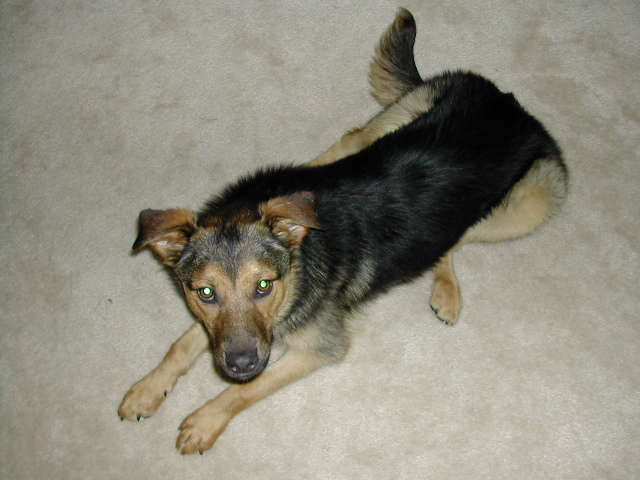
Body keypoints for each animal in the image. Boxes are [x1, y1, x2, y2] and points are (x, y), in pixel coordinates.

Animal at [117, 8, 568, 454]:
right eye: (206, 292)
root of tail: (510, 105)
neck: (299, 263)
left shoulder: (320, 348)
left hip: (530, 203)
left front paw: (205, 421)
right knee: (350, 141)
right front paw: (147, 390)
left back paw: (447, 288)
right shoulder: (217, 326)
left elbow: (246, 389)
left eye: (264, 286)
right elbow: (182, 344)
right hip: (394, 122)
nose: (240, 363)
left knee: (459, 233)